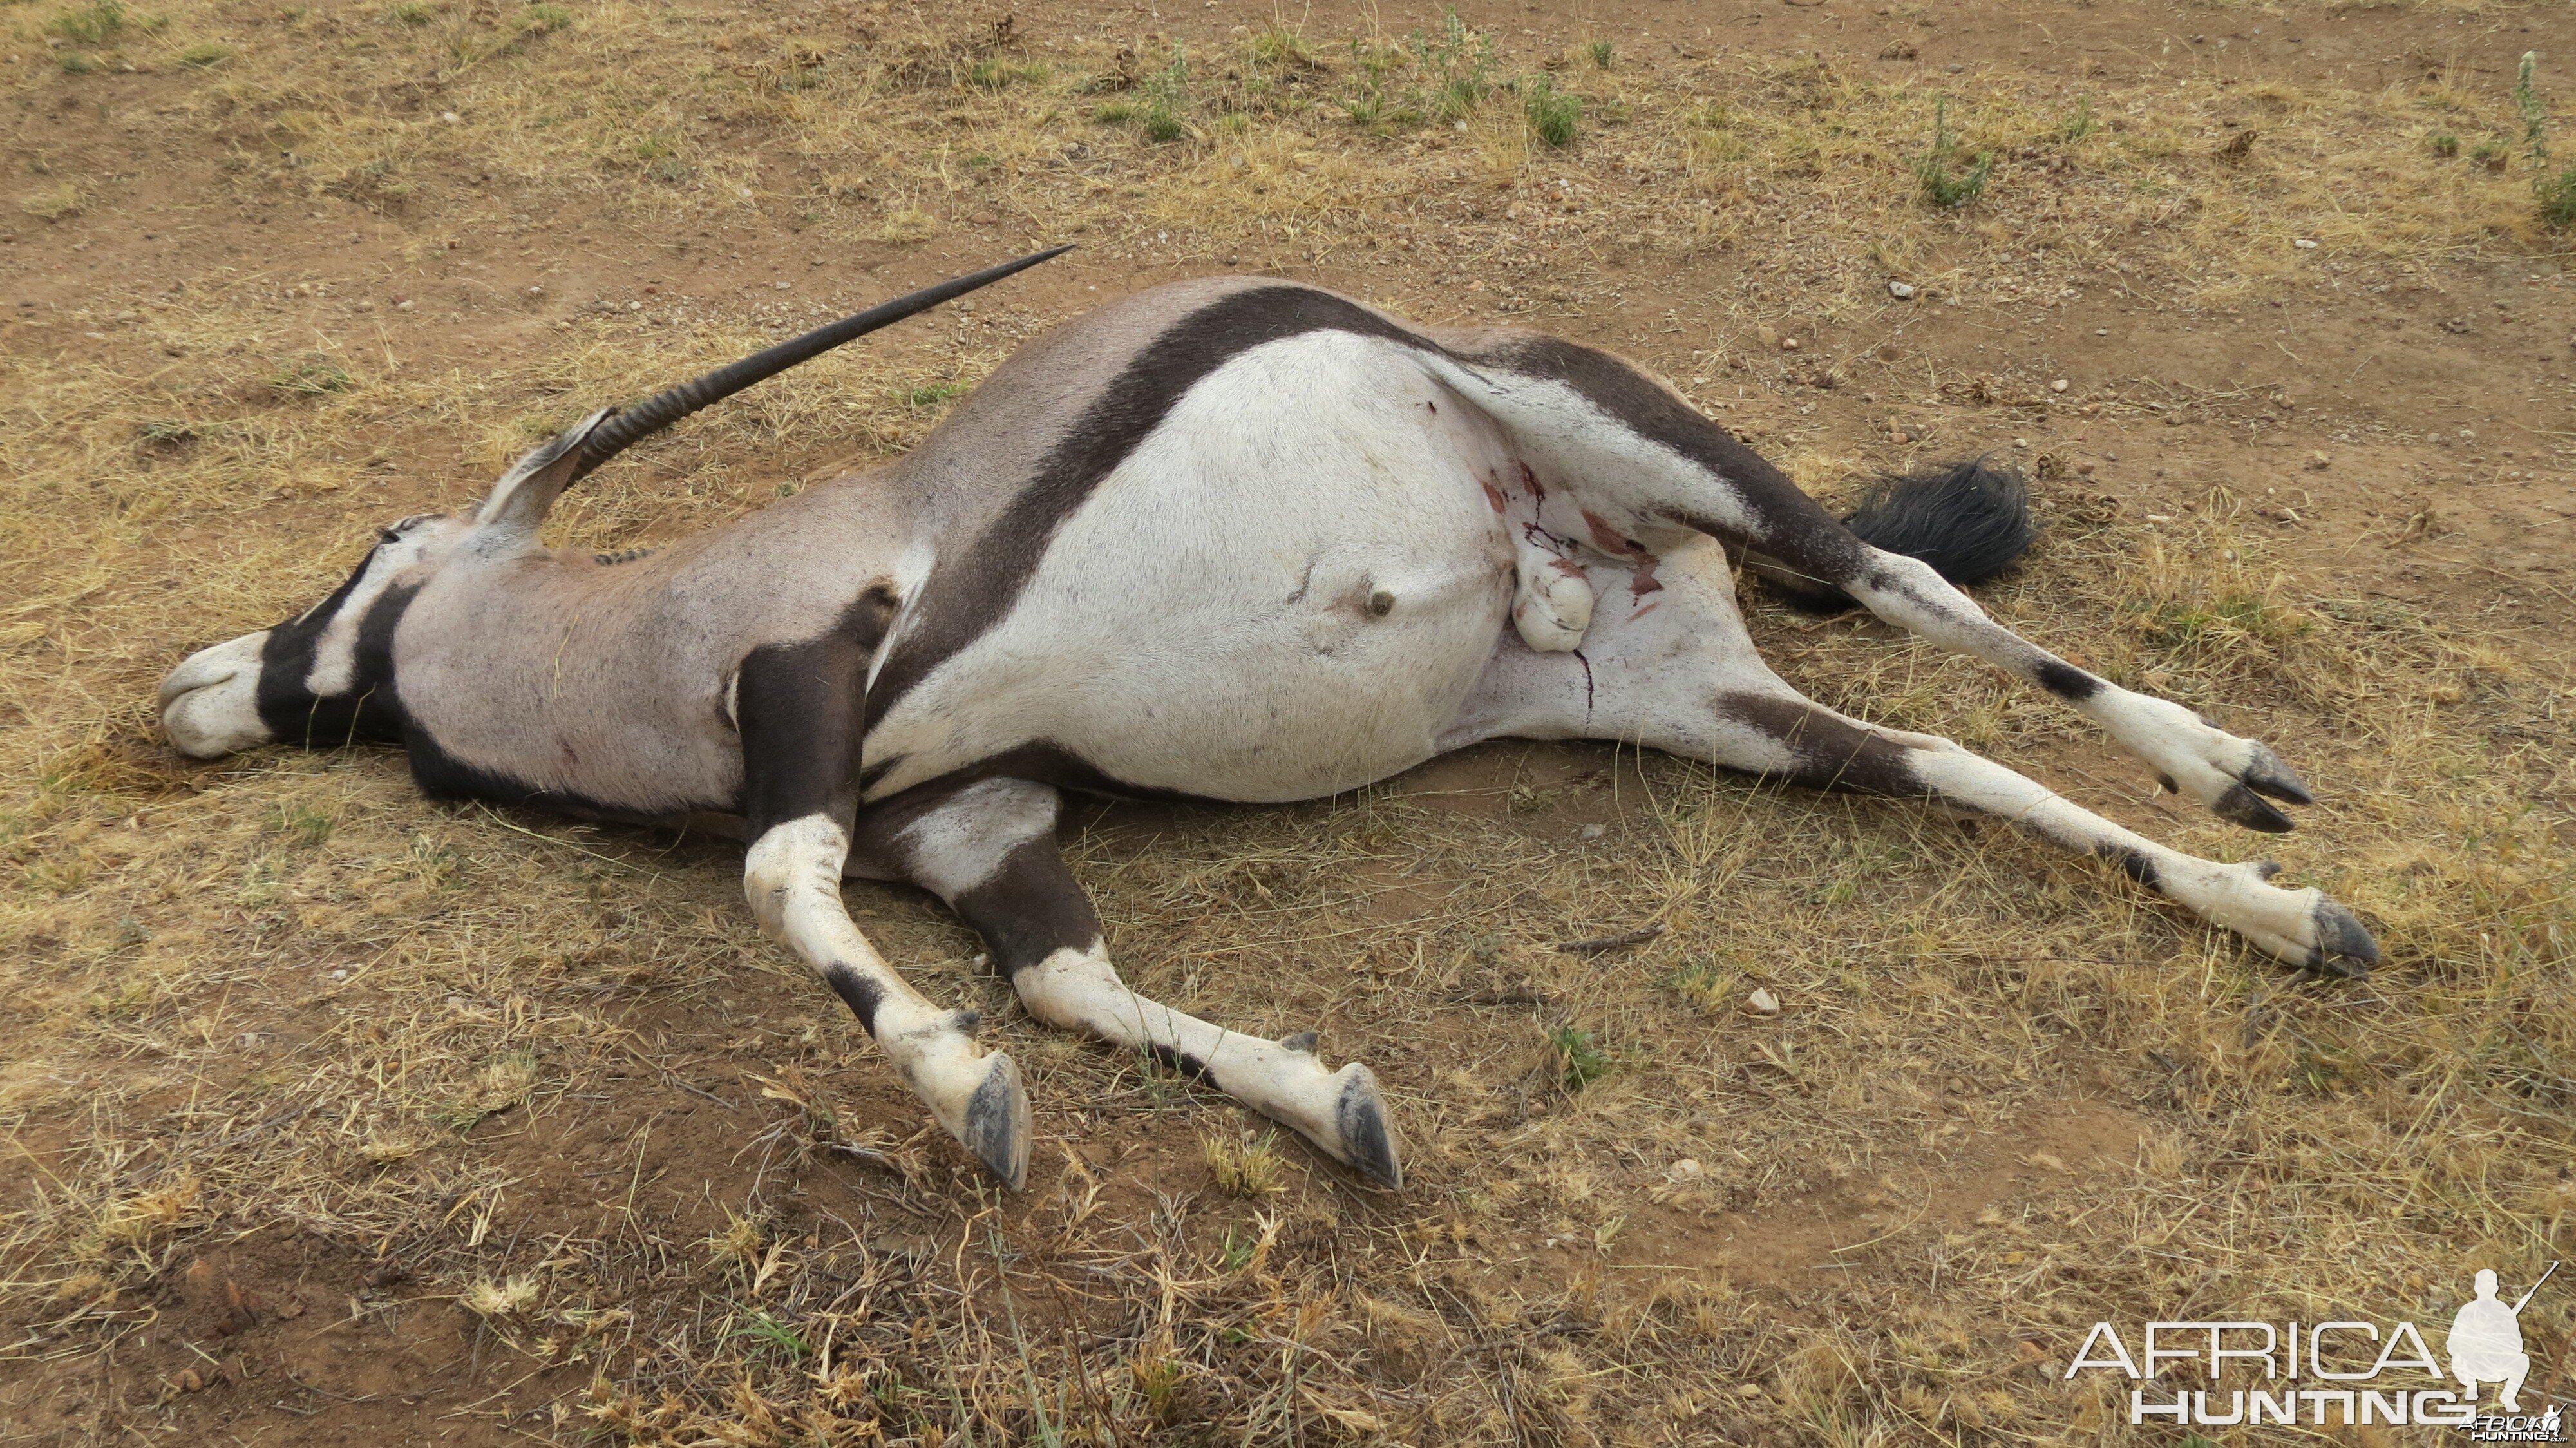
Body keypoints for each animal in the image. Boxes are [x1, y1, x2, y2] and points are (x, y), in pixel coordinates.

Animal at [156, 247, 2370, 1190]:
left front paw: (955, 1091)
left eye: (378, 545)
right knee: (1939, 760)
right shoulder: (972, 824)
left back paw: (2246, 779)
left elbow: (780, 885)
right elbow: (1070, 980)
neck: (635, 640)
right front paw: (1328, 1105)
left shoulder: (813, 700)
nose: (186, 693)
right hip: (1694, 702)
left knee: (1912, 589)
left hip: (1640, 438)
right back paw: (2288, 915)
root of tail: (1588, 552)